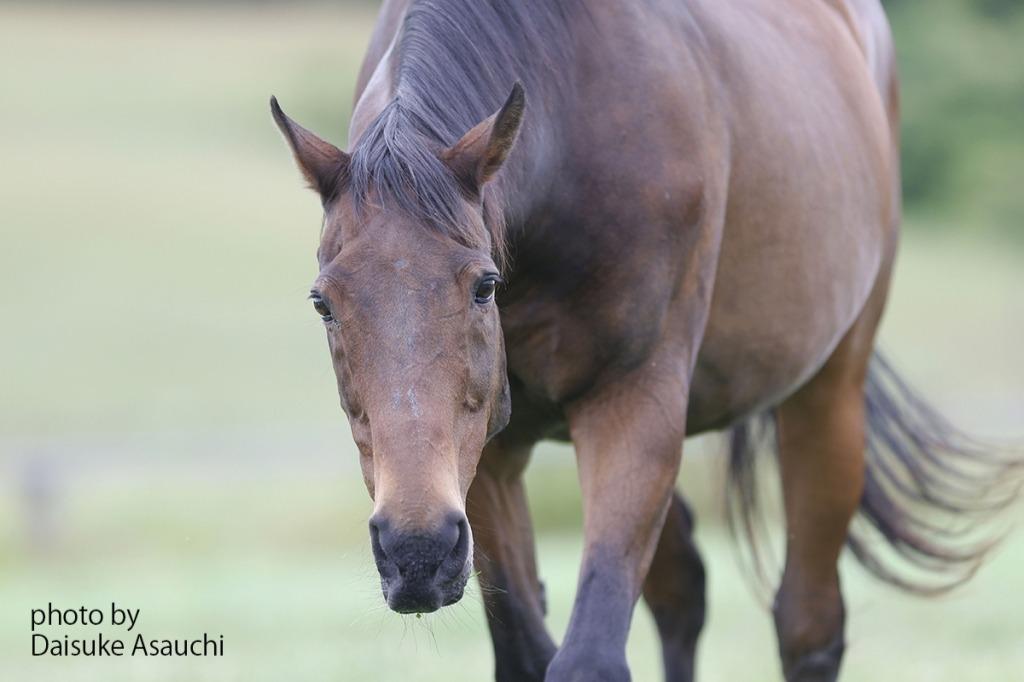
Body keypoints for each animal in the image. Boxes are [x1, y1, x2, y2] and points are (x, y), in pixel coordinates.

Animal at [268, 1, 1019, 679]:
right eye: (323, 304)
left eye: (484, 286)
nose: (416, 552)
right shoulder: (489, 453)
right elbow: (528, 652)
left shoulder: (632, 405)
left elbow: (588, 660)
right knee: (684, 589)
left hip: (828, 396)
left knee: (808, 627)